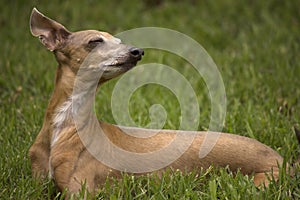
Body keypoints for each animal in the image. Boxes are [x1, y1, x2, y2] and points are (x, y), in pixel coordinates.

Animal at [28, 7, 290, 195]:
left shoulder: (80, 189)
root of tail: (283, 160)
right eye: (95, 41)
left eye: (119, 42)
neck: (64, 127)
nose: (137, 51)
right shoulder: (39, 182)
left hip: (260, 182)